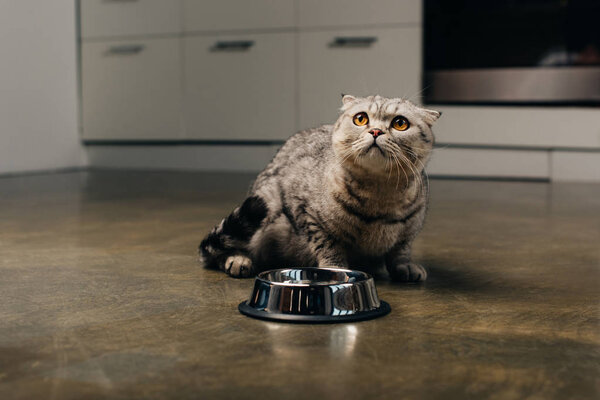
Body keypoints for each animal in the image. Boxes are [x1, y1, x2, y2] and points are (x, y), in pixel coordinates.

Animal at [200, 94, 440, 282]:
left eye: (400, 123)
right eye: (360, 118)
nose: (375, 131)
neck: (379, 194)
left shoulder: (410, 229)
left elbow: (400, 251)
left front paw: (404, 267)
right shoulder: (307, 214)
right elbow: (327, 245)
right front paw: (335, 268)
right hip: (264, 205)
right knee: (219, 249)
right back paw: (238, 259)